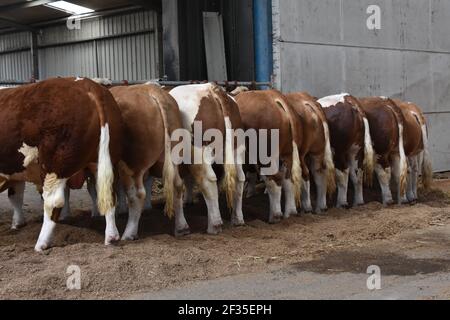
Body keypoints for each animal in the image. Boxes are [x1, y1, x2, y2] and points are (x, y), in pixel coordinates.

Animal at [0, 77, 123, 250]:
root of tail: (88, 85)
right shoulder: (16, 170)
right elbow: (15, 196)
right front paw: (17, 224)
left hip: (54, 165)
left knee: (53, 202)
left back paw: (41, 243)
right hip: (105, 162)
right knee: (109, 195)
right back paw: (111, 237)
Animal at [170, 84, 246, 234]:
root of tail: (210, 89)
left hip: (200, 153)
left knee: (208, 180)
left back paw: (214, 225)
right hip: (237, 149)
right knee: (239, 178)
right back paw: (237, 219)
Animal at [234, 89, 304, 221]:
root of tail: (273, 97)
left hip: (265, 156)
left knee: (274, 180)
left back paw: (275, 216)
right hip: (288, 153)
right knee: (288, 179)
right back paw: (290, 212)